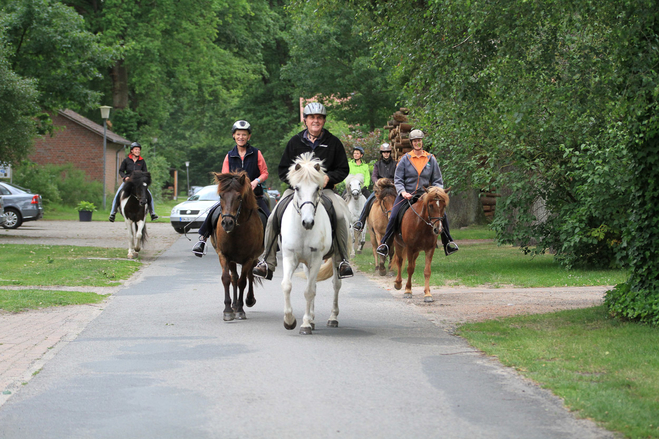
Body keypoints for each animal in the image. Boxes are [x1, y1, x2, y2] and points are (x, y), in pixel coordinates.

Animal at [210, 171, 264, 320]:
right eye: (221, 195)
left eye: (239, 197)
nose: (227, 223)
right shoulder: (224, 255)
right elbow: (227, 279)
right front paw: (228, 310)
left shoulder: (249, 258)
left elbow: (243, 281)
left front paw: (240, 309)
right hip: (232, 260)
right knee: (234, 278)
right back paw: (233, 305)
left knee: (249, 276)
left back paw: (249, 300)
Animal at [280, 153, 350, 336]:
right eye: (297, 188)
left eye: (317, 188)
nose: (308, 222)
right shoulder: (290, 257)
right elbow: (287, 286)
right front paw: (289, 321)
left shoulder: (316, 259)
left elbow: (309, 291)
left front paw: (304, 325)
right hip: (306, 263)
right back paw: (311, 319)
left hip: (334, 258)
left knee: (336, 285)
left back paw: (332, 318)